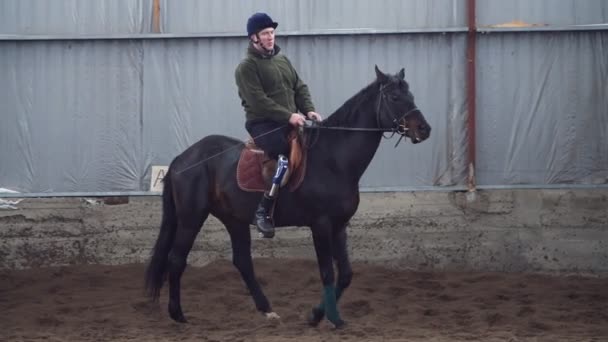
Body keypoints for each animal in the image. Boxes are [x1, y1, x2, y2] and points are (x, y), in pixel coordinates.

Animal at [146, 65, 432, 328]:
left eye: (411, 95)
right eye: (394, 97)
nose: (424, 129)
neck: (333, 158)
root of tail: (183, 158)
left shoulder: (339, 225)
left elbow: (346, 274)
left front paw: (318, 315)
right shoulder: (321, 225)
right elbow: (327, 273)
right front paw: (329, 318)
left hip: (234, 220)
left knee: (242, 261)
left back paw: (267, 310)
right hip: (191, 218)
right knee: (176, 259)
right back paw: (178, 314)